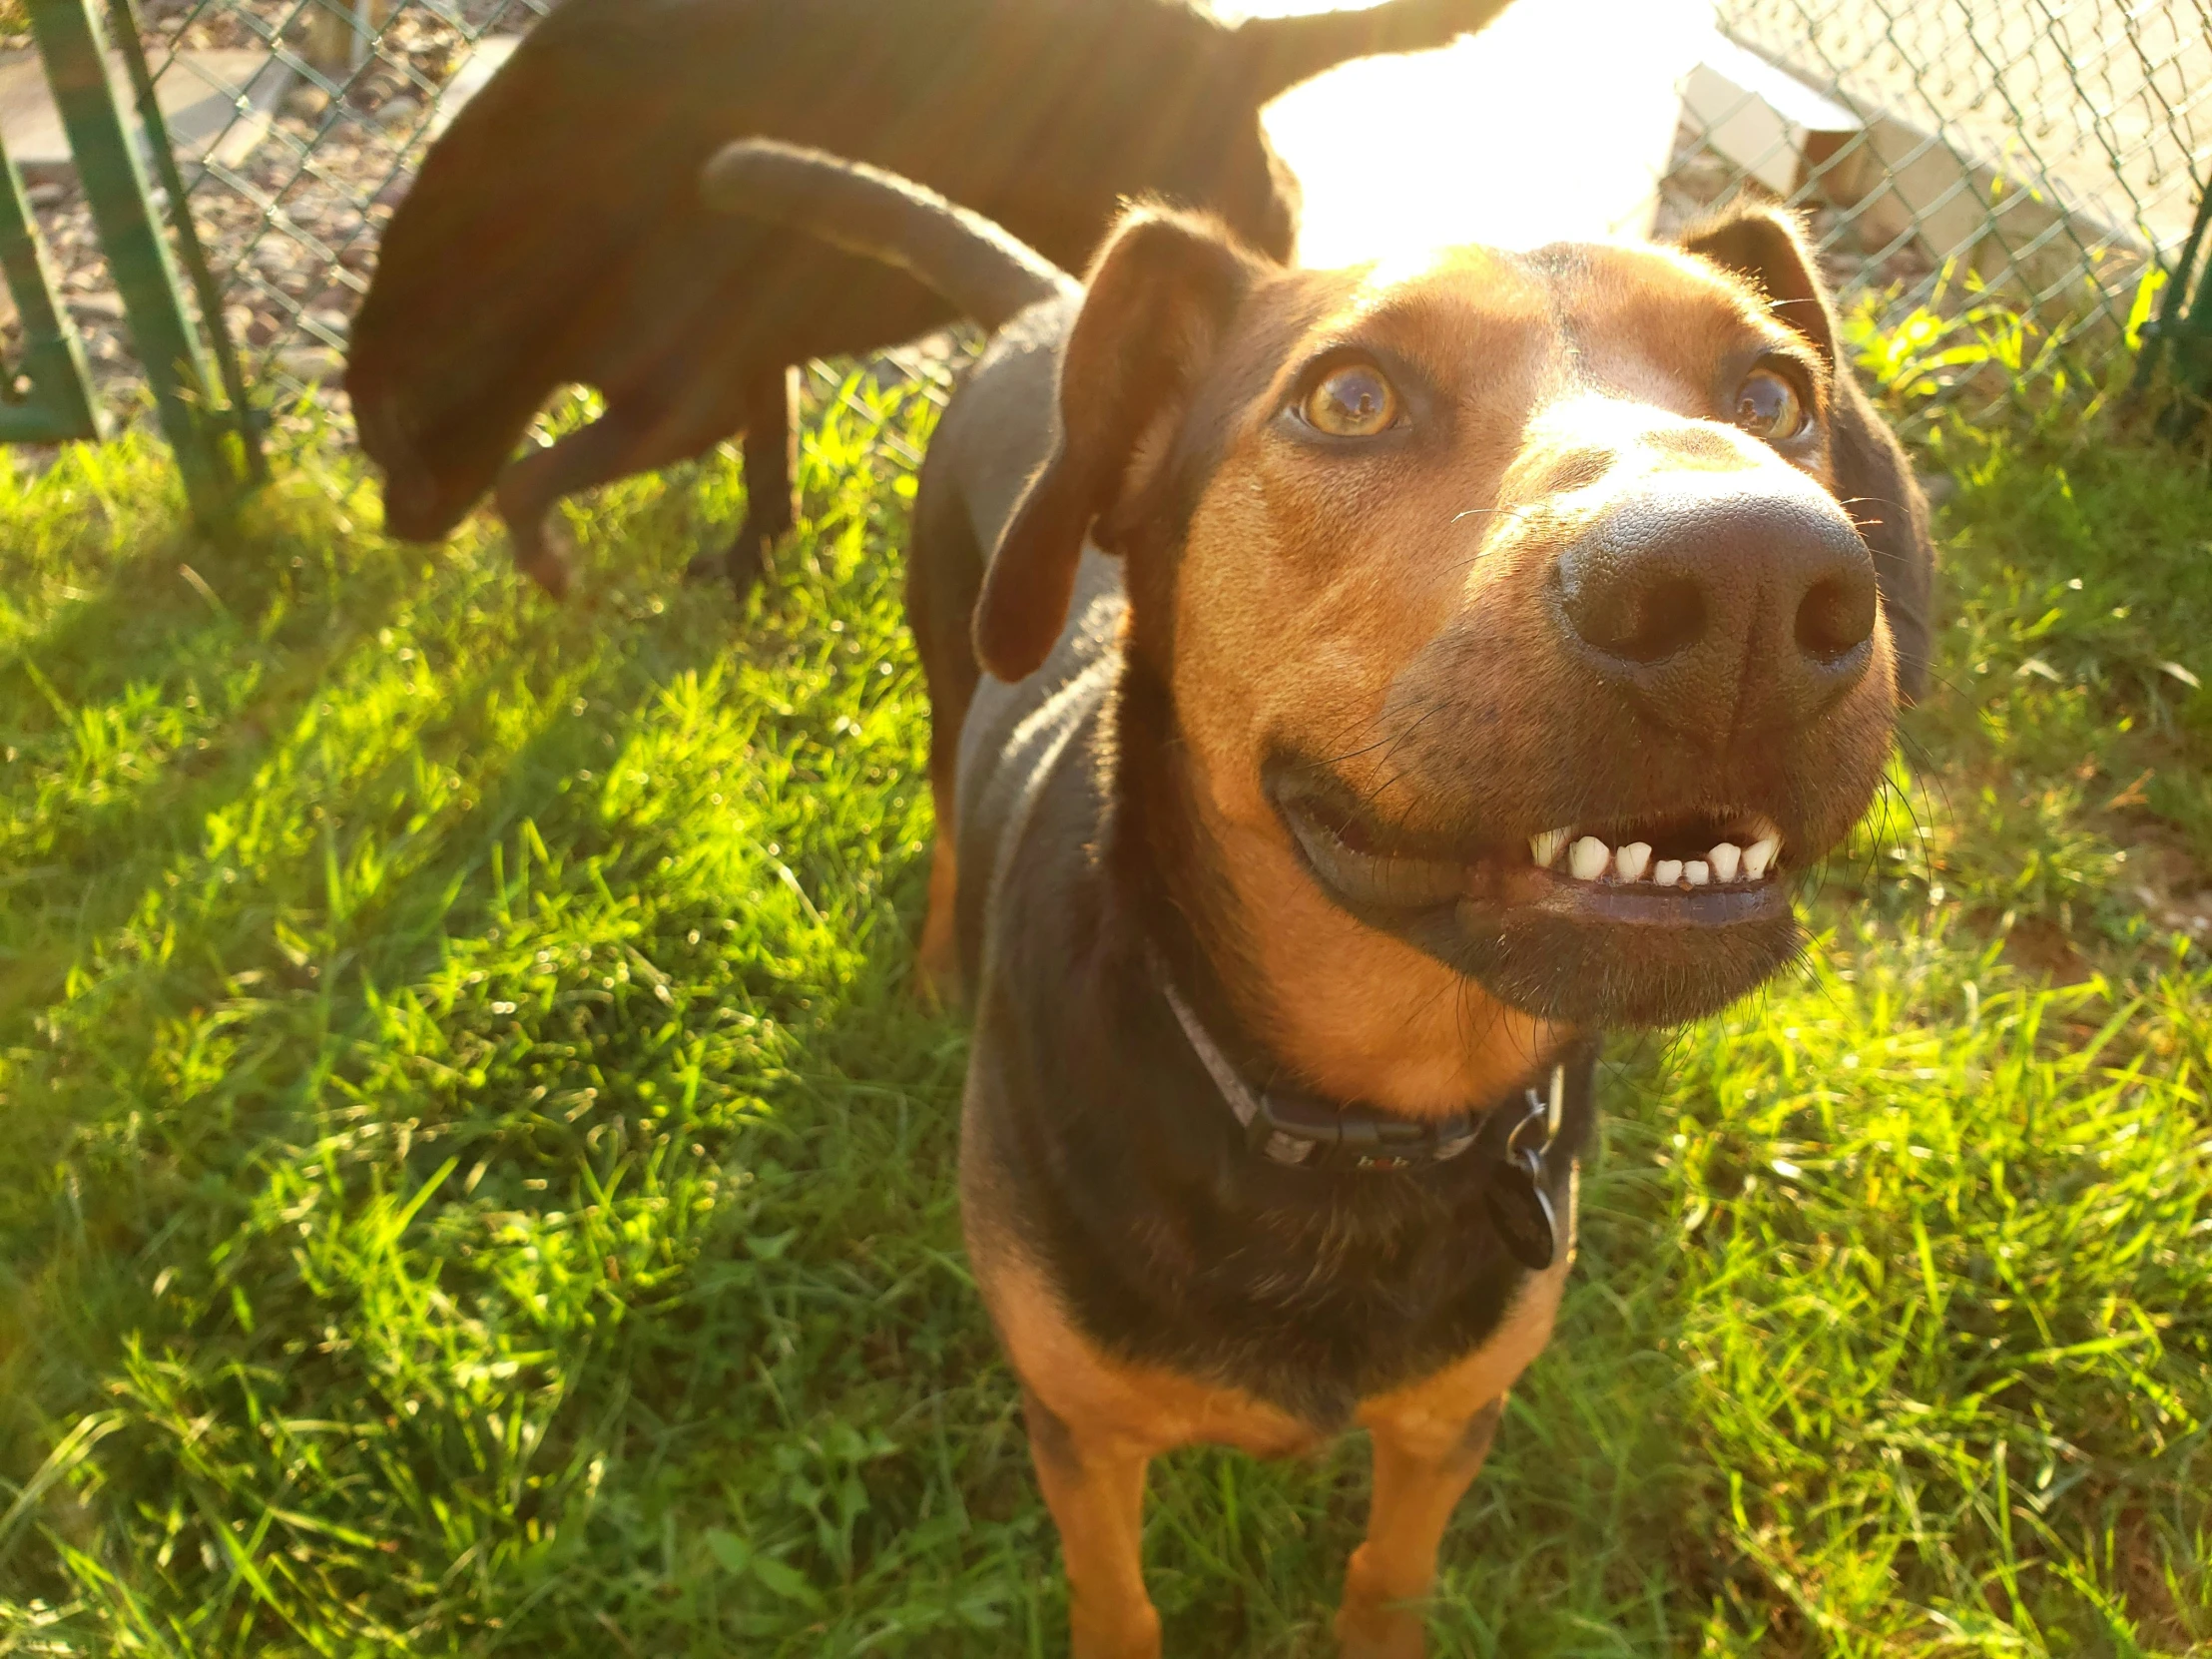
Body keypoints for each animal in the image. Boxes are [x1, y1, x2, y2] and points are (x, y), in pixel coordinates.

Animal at [349, 0, 1521, 606]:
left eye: (389, 433)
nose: (393, 526)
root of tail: (1236, 46)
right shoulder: (750, 369)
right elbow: (768, 471)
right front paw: (746, 568)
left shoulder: (683, 399)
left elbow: (525, 479)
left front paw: (553, 571)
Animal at [699, 146, 1929, 1659]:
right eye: (1350, 398)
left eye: (1774, 398)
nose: (1754, 579)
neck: (1360, 1127)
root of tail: (1052, 298)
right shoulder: (1080, 1429)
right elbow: (1117, 1603)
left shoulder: (1450, 1419)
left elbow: (1386, 1573)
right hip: (947, 648)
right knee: (939, 825)